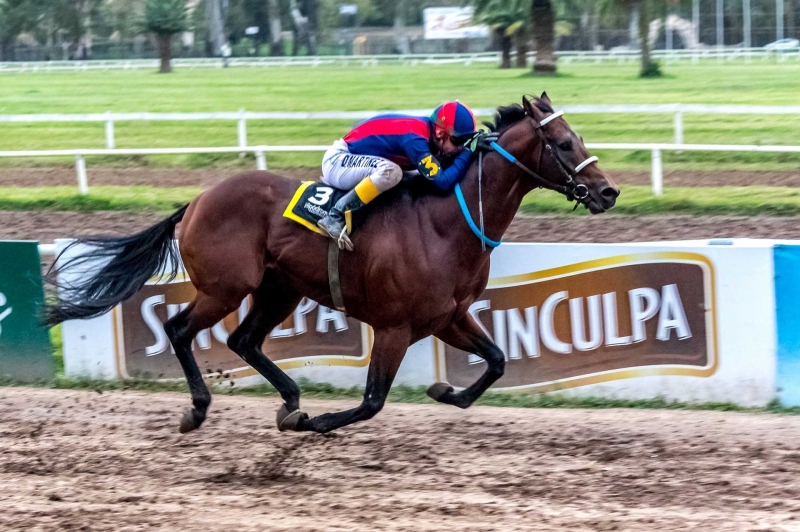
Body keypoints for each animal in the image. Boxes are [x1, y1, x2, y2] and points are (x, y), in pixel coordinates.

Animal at [48, 93, 620, 434]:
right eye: (564, 143)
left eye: (579, 138)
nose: (608, 192)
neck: (448, 224)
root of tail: (195, 202)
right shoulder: (395, 327)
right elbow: (372, 401)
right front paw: (313, 423)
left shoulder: (449, 317)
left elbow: (498, 361)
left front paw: (444, 389)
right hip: (225, 287)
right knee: (179, 328)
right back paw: (200, 408)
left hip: (279, 288)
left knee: (243, 340)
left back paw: (289, 399)